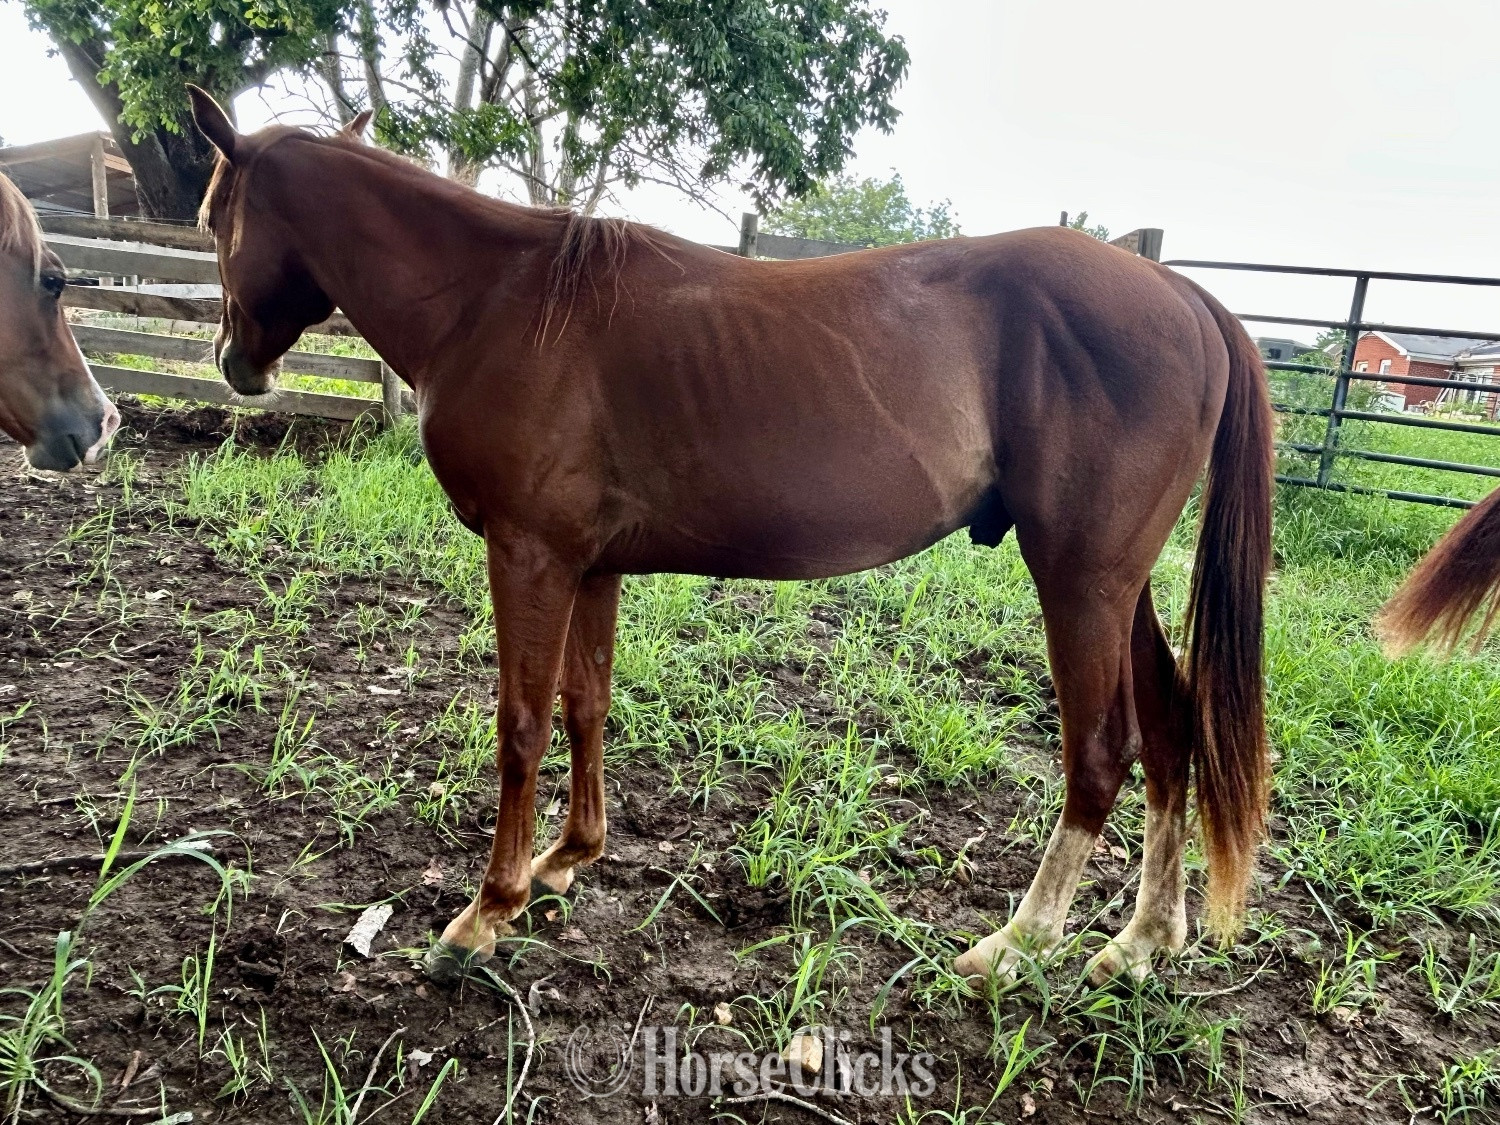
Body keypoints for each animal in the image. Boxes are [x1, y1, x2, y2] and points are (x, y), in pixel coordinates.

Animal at [185, 84, 1274, 988]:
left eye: (209, 218)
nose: (235, 361)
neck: (501, 300)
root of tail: (1188, 298)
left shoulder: (529, 554)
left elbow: (521, 727)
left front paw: (485, 913)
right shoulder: (590, 565)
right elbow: (586, 704)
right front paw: (566, 861)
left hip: (1079, 579)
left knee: (1102, 750)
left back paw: (1017, 944)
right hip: (1120, 584)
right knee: (1173, 727)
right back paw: (1140, 942)